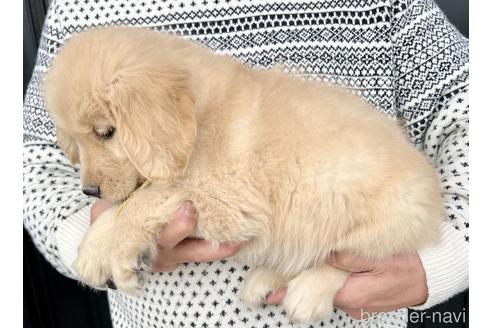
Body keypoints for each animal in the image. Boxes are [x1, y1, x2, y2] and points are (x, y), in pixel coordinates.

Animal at [43, 26, 442, 322]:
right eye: (76, 140)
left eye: (106, 132)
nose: (89, 192)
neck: (199, 116)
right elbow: (127, 202)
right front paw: (94, 249)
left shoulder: (228, 202)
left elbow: (147, 198)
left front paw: (121, 255)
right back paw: (264, 281)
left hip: (382, 218)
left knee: (355, 255)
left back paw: (307, 292)